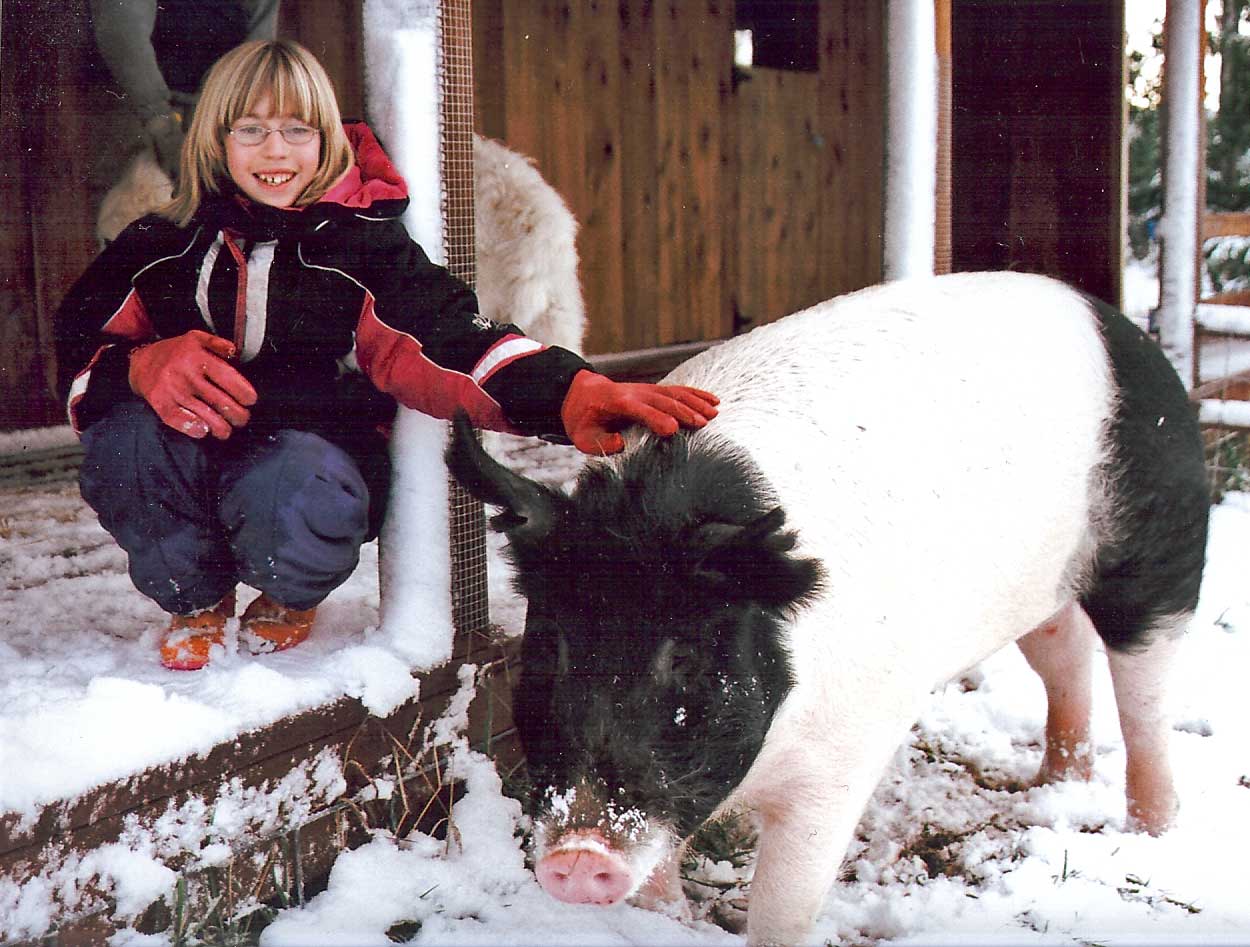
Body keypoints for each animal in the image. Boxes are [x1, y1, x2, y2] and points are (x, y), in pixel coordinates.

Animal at [445, 271, 1205, 944]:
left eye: (684, 655)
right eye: (552, 645)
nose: (579, 855)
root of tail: (1123, 327)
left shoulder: (848, 749)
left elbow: (786, 901)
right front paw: (669, 922)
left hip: (1162, 550)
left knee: (1146, 690)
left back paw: (1153, 830)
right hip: (1040, 585)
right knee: (1064, 653)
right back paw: (1053, 782)